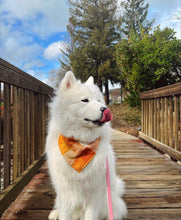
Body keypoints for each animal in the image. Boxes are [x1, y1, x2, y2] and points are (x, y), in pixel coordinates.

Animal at [45, 71, 127, 219]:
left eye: (99, 100)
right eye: (85, 100)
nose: (105, 109)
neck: (81, 142)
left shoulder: (94, 193)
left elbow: (90, 215)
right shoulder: (65, 192)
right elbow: (64, 213)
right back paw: (55, 213)